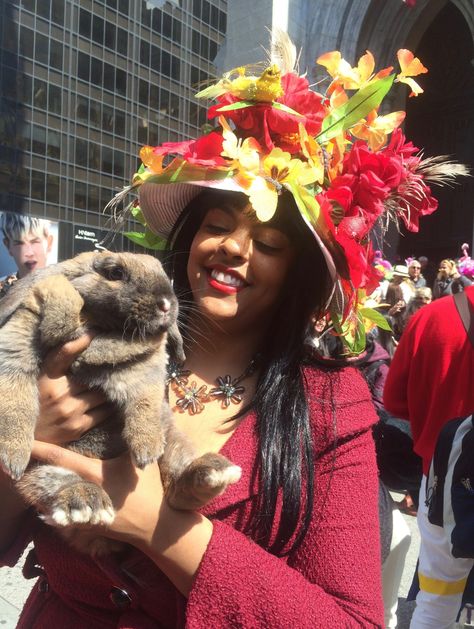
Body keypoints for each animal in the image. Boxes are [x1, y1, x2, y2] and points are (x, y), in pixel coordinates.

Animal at [0, 250, 241, 556]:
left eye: (165, 273)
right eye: (115, 273)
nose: (166, 304)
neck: (106, 329)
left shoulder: (148, 363)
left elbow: (144, 399)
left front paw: (145, 449)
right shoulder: (17, 342)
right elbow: (16, 395)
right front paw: (13, 457)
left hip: (174, 442)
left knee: (177, 492)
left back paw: (213, 472)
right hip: (46, 468)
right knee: (53, 486)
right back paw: (85, 502)